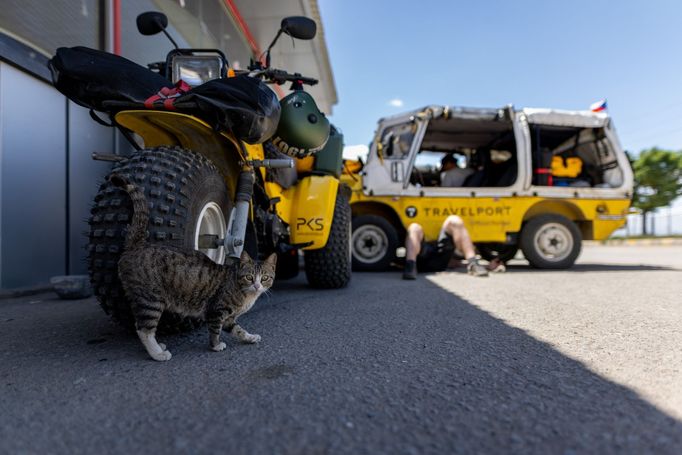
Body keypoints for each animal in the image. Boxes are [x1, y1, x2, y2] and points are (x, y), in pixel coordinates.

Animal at [109, 175, 274, 364]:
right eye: (249, 277)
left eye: (265, 278)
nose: (257, 285)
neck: (245, 294)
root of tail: (137, 245)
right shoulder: (216, 311)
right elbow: (215, 330)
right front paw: (216, 346)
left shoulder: (229, 318)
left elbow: (238, 330)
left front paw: (250, 337)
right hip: (151, 299)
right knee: (143, 329)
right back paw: (158, 353)